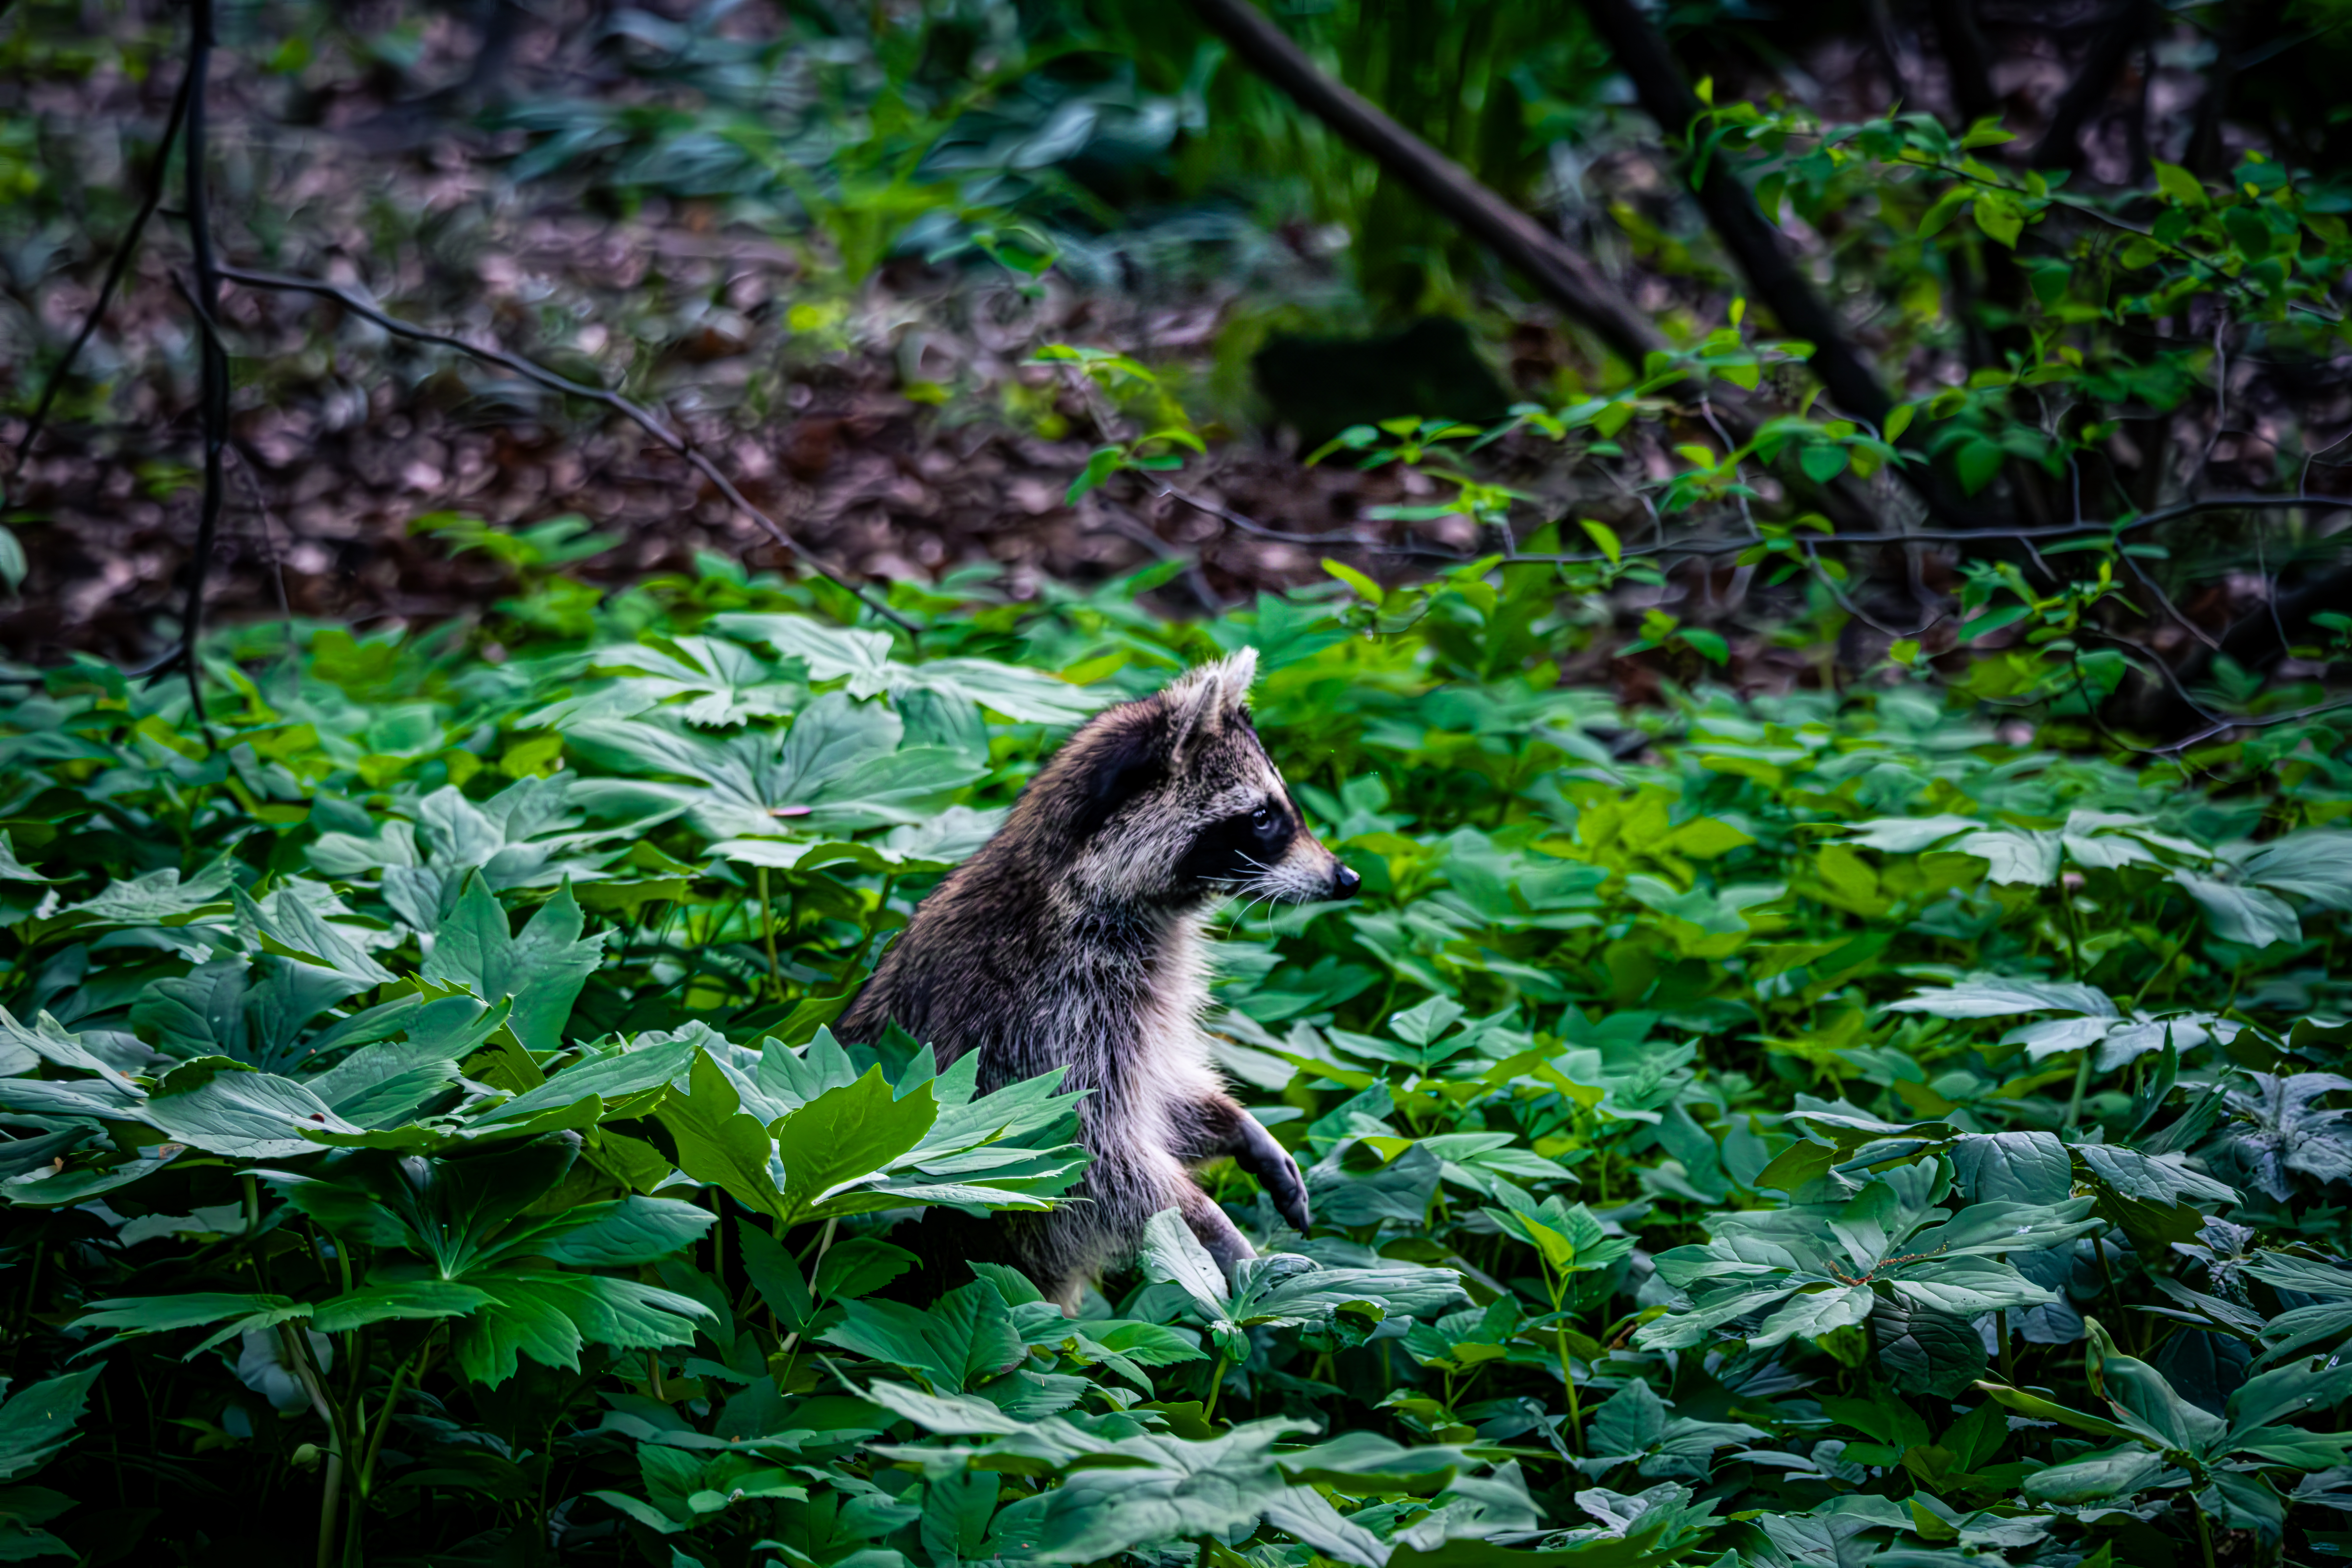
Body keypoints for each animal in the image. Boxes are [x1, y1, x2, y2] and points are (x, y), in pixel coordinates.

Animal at [835, 649, 1358, 1308]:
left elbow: (1159, 1101)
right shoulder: (1039, 1020)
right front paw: (1213, 1227)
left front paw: (1234, 1122)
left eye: (1280, 806)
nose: (1347, 879)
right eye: (1263, 817)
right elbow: (1091, 1156)